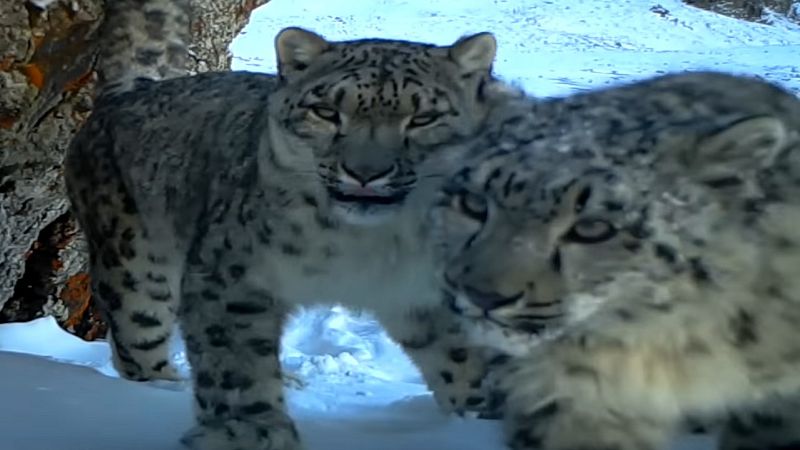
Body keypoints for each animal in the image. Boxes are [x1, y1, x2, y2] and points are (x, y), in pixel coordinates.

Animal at [64, 0, 515, 448]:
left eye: (423, 118)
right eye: (326, 112)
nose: (365, 172)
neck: (366, 248)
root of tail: (133, 88)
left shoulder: (427, 292)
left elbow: (463, 357)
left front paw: (484, 419)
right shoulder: (231, 276)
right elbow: (235, 364)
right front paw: (252, 432)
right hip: (135, 264)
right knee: (135, 342)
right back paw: (166, 387)